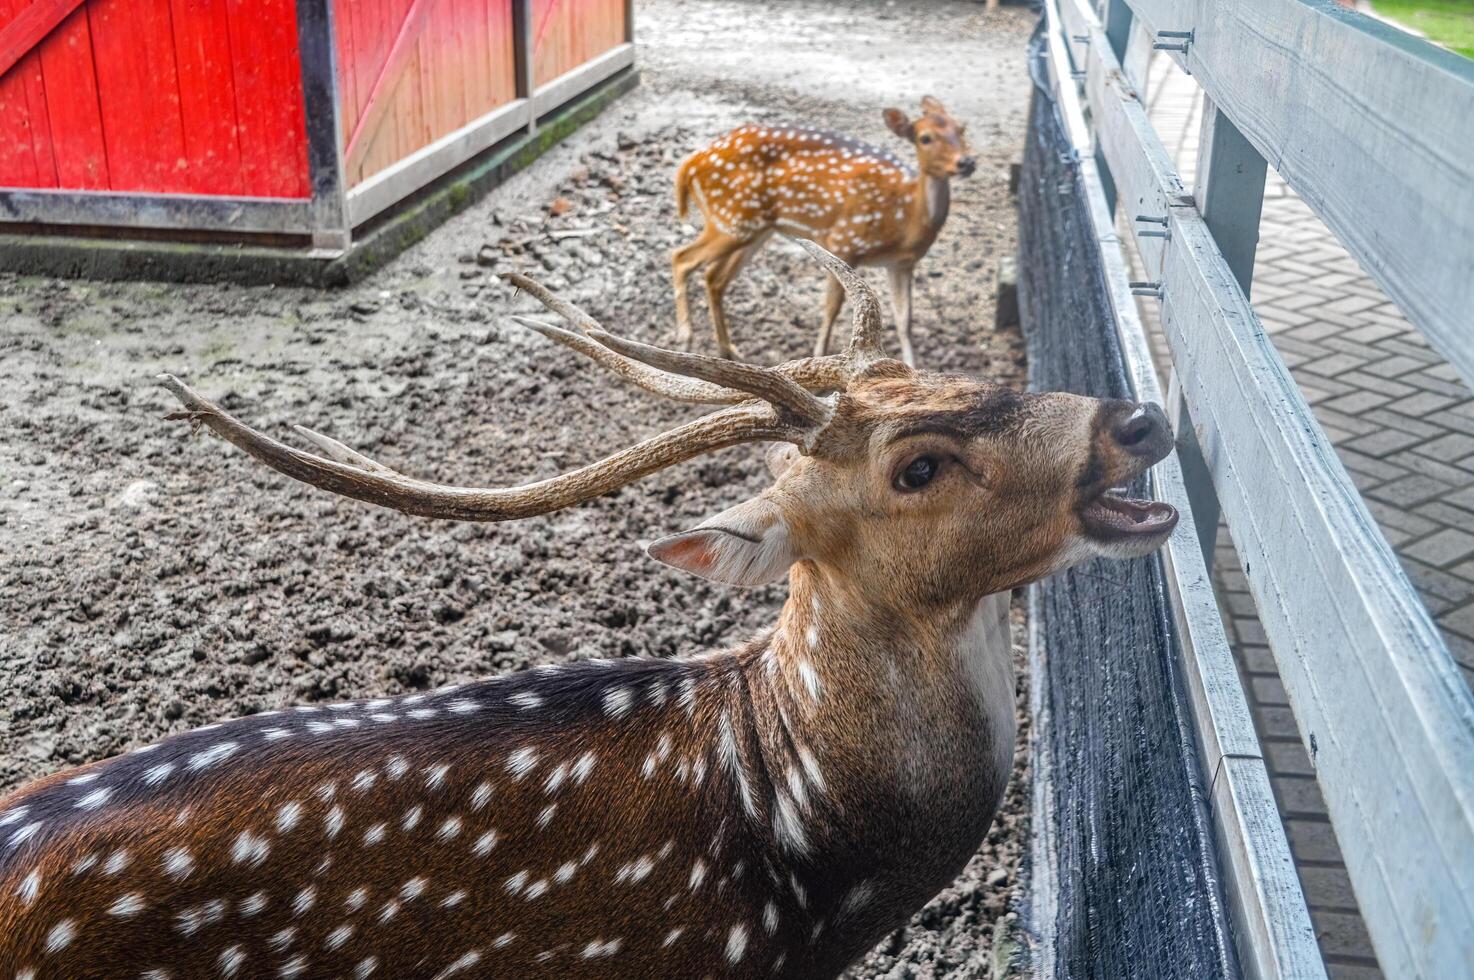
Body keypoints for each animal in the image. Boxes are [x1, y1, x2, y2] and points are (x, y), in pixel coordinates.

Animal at [672, 96, 972, 366]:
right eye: (925, 138)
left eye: (961, 129)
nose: (967, 162)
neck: (905, 221)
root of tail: (689, 165)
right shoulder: (844, 241)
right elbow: (832, 308)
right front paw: (819, 355)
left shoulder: (902, 264)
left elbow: (904, 319)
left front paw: (913, 368)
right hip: (731, 220)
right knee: (681, 258)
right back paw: (685, 337)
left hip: (753, 229)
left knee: (714, 277)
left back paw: (728, 350)